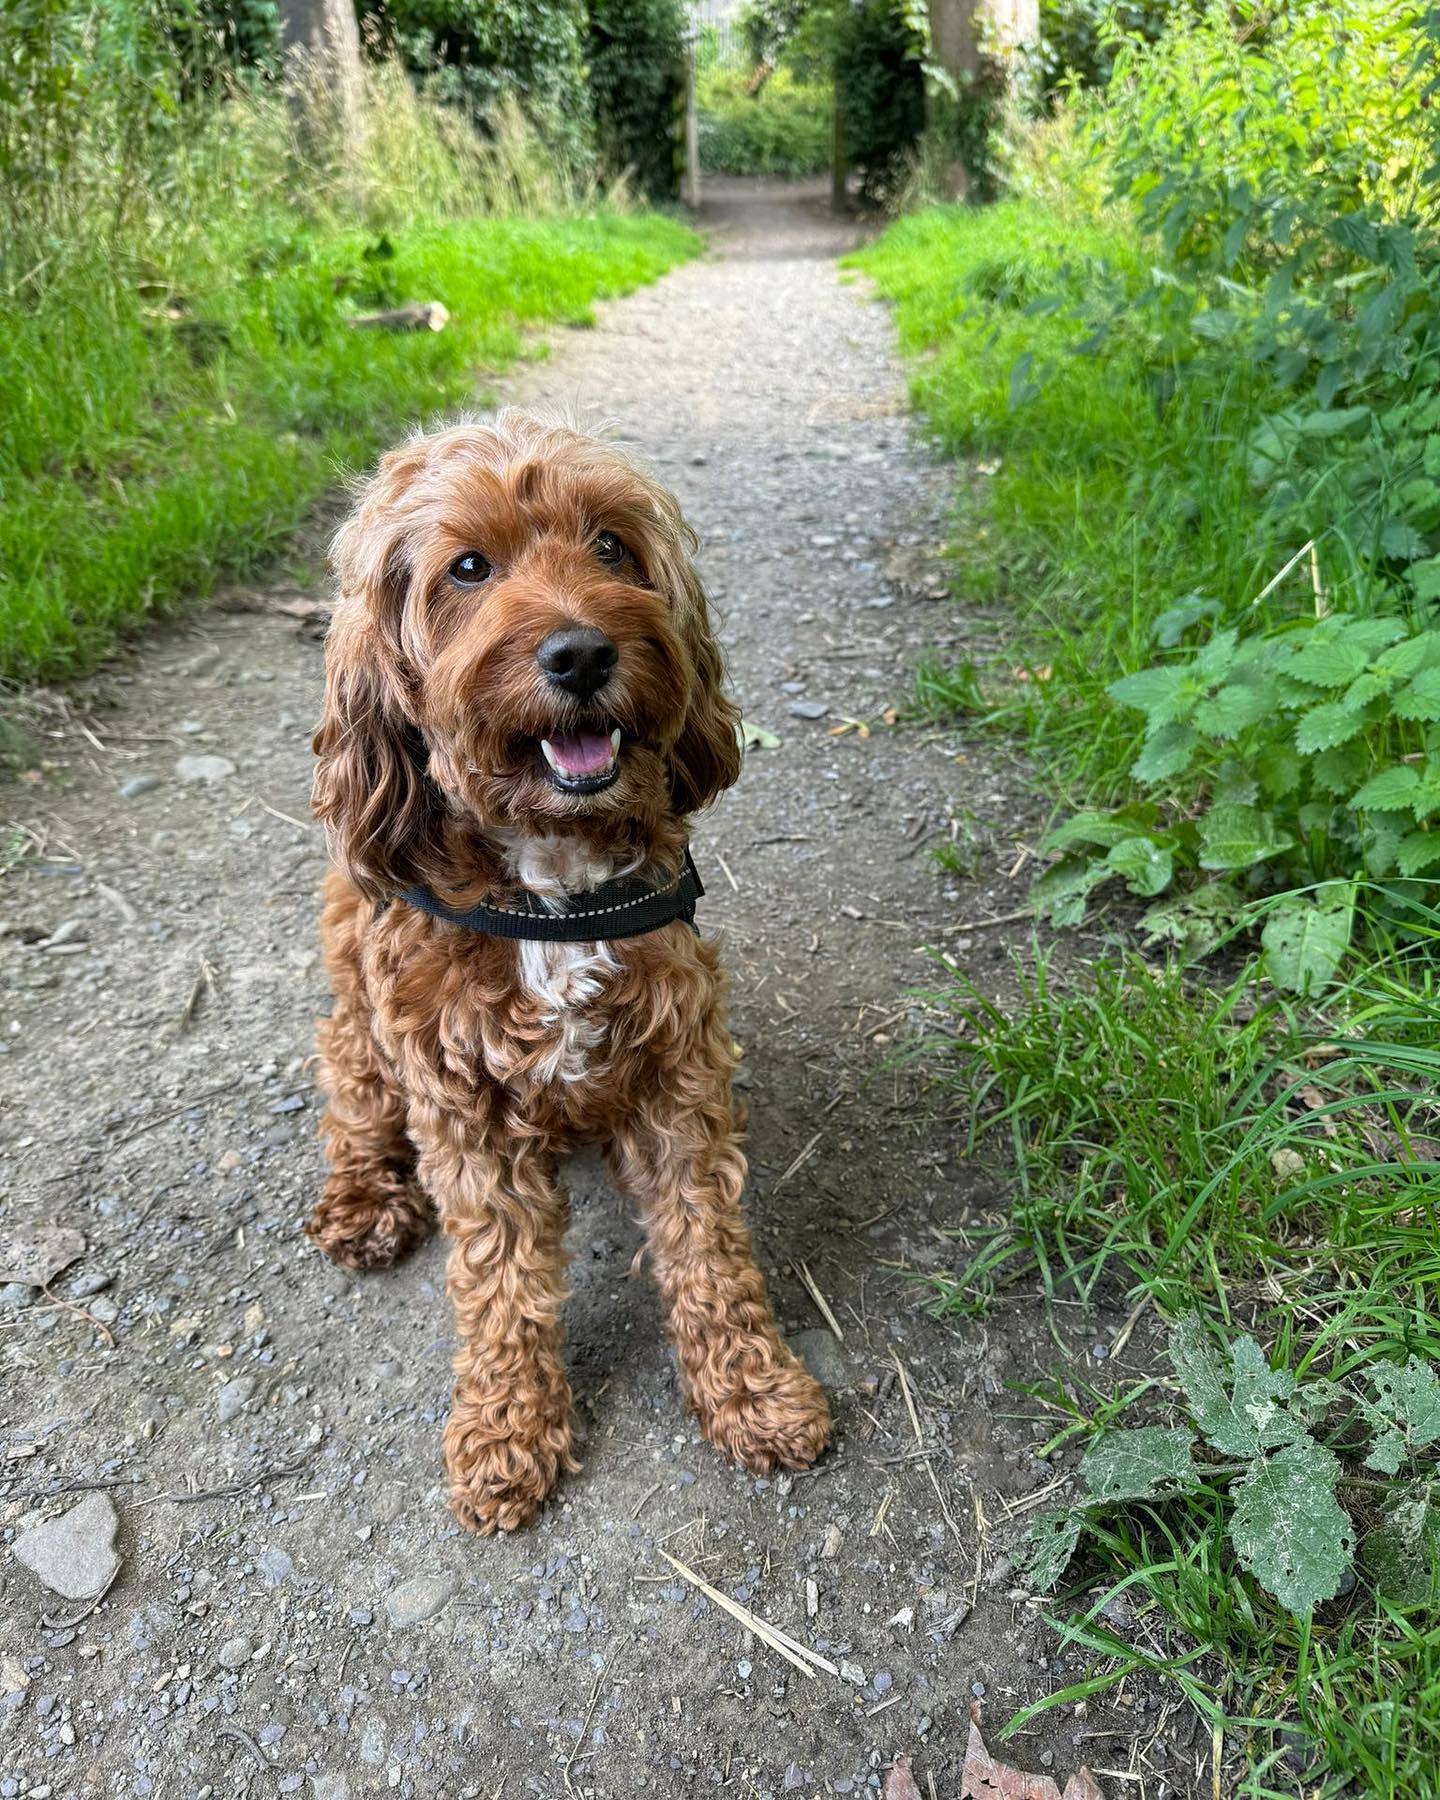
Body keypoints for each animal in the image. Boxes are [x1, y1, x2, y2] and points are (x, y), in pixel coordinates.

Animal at [309, 412, 838, 1533]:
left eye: (610, 547)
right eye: (468, 567)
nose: (583, 650)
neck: (552, 879)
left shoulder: (677, 1070)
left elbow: (707, 1244)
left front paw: (754, 1388)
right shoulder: (460, 1106)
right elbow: (499, 1281)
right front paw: (506, 1428)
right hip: (362, 1035)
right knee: (353, 1107)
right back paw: (364, 1202)